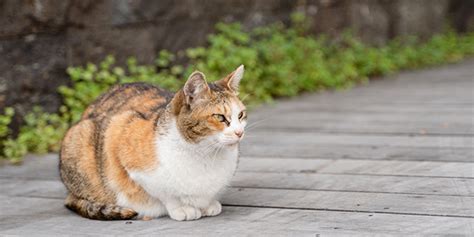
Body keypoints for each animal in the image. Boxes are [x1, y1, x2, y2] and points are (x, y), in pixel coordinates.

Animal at [59, 65, 248, 220]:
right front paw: (182, 208)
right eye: (220, 117)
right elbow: (166, 194)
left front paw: (208, 204)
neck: (204, 153)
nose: (239, 132)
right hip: (81, 136)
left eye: (240, 115)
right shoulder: (120, 128)